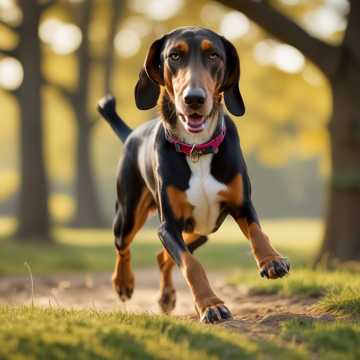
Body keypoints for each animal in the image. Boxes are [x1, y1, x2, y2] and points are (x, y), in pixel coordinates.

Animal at [97, 26, 290, 324]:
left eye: (214, 55)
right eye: (174, 55)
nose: (194, 98)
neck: (197, 149)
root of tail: (131, 134)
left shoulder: (242, 203)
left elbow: (258, 232)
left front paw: (271, 259)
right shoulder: (168, 226)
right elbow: (191, 264)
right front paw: (210, 305)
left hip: (200, 231)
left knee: (161, 257)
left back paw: (166, 296)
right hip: (128, 213)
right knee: (122, 245)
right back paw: (123, 283)